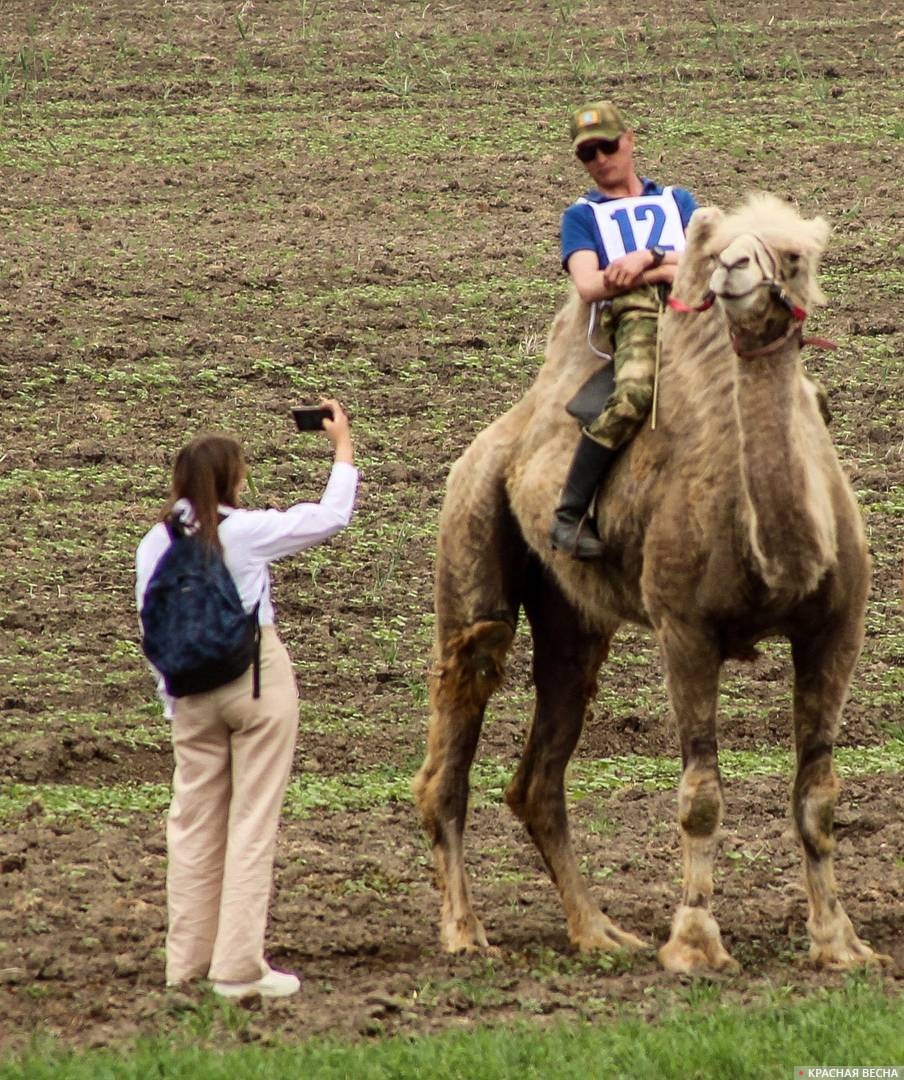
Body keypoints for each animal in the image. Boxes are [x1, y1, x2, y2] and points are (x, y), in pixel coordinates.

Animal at [414, 190, 889, 976]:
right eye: (723, 247)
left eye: (795, 257)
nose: (733, 270)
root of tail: (499, 437)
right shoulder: (684, 630)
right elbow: (701, 795)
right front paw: (695, 943)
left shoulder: (836, 630)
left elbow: (818, 796)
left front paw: (841, 943)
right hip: (470, 541)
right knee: (456, 727)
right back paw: (464, 932)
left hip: (573, 622)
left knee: (540, 772)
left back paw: (598, 932)